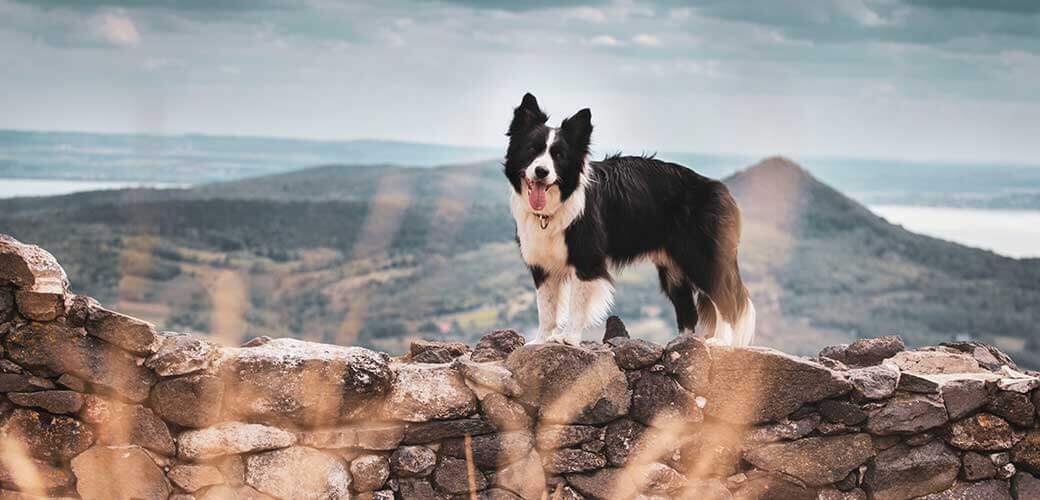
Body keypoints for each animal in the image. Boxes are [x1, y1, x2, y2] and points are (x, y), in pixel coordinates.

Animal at [503, 92, 757, 347]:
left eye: (558, 156)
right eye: (531, 149)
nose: (541, 172)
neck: (558, 203)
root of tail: (723, 192)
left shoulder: (587, 260)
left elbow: (576, 304)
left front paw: (569, 338)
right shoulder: (542, 264)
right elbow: (545, 307)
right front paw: (540, 340)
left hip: (701, 257)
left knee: (725, 299)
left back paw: (719, 340)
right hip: (672, 269)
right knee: (687, 309)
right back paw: (683, 344)